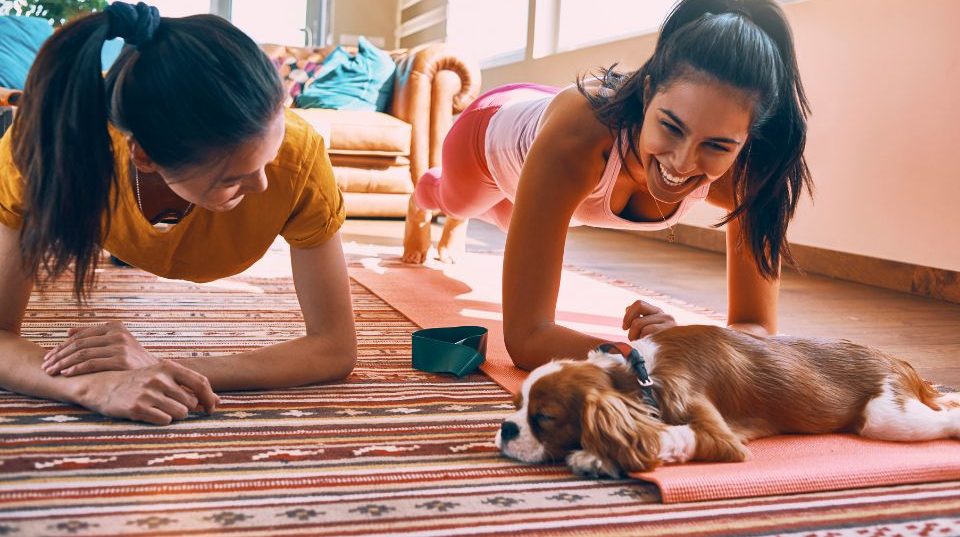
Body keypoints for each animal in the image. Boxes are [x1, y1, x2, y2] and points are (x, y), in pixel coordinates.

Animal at [496, 324, 960, 476]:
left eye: (544, 417)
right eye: (516, 405)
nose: (506, 428)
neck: (642, 376)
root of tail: (898, 360)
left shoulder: (719, 437)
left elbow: (669, 436)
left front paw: (596, 456)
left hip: (888, 416)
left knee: (943, 415)